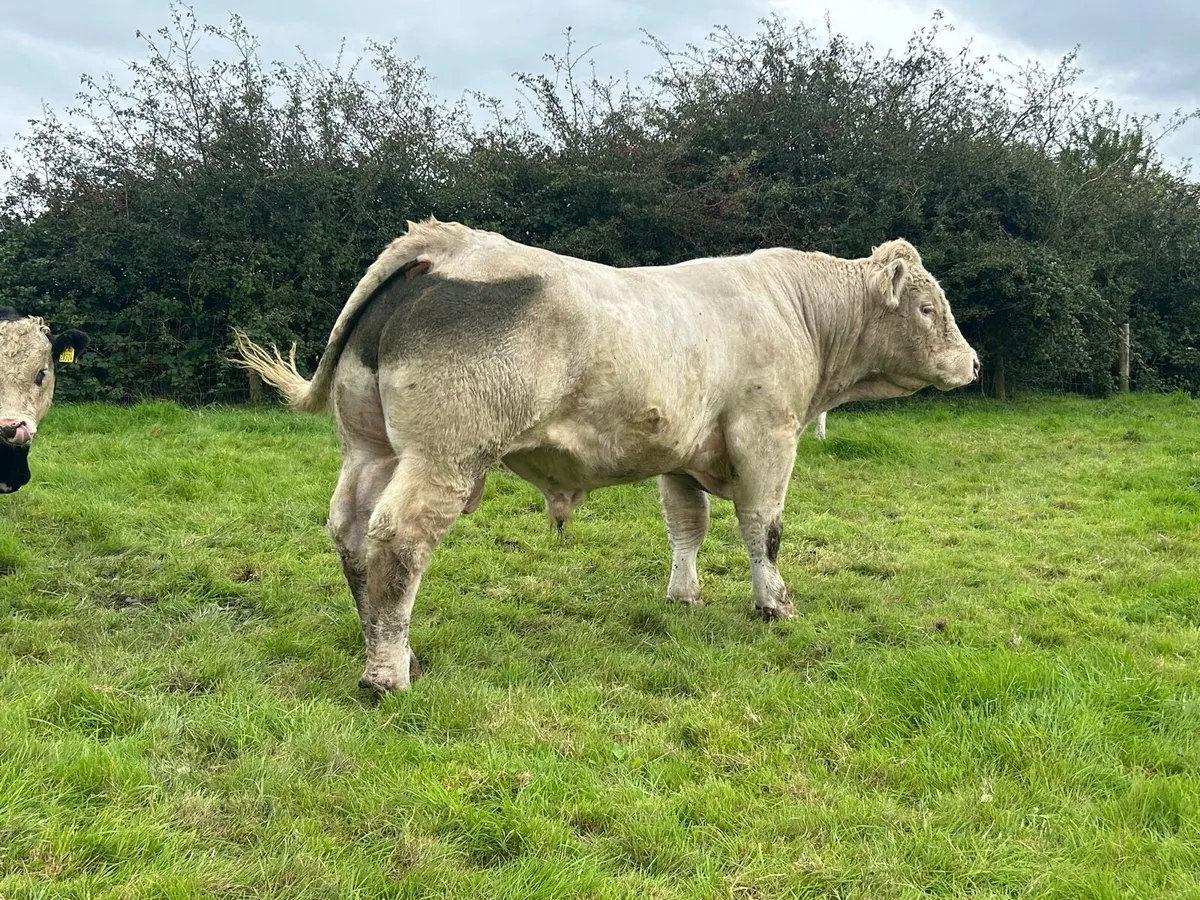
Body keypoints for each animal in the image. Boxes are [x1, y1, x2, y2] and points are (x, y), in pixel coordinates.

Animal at [234, 219, 978, 693]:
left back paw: (391, 650)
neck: (796, 310)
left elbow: (688, 527)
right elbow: (762, 527)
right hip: (443, 454)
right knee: (397, 538)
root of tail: (442, 243)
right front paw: (775, 605)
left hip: (369, 448)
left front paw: (684, 596)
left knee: (350, 531)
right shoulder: (767, 433)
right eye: (926, 308)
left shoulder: (683, 450)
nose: (971, 362)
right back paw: (386, 673)